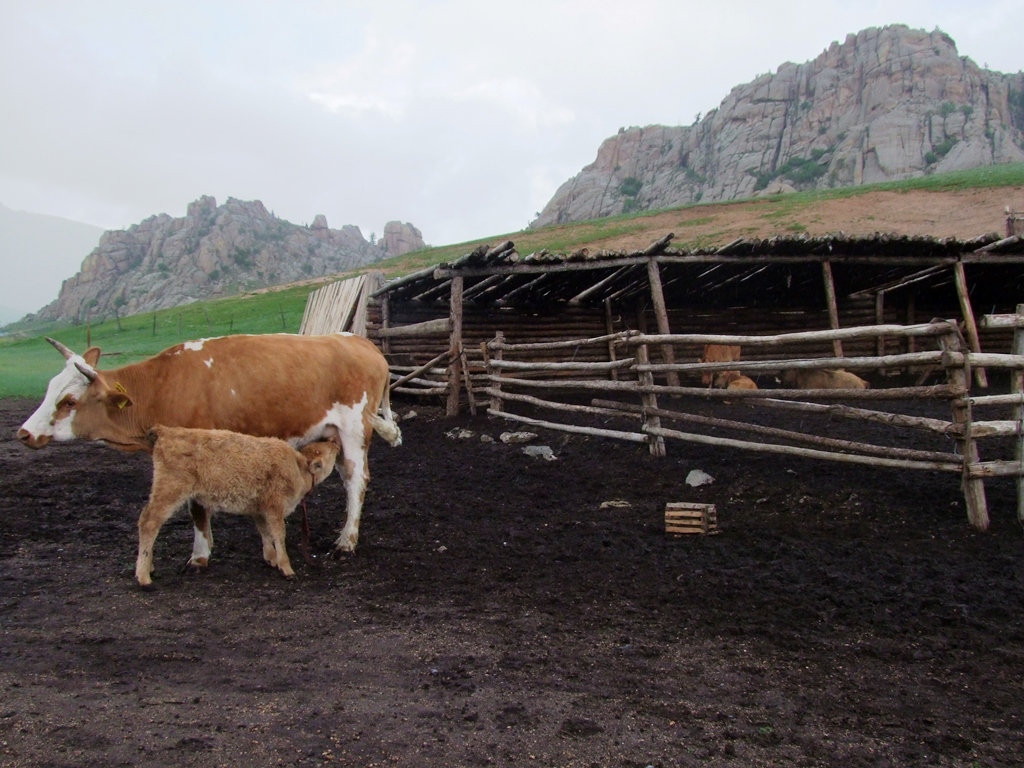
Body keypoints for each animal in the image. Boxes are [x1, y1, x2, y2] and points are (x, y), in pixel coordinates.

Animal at [132, 428, 337, 589]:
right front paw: (287, 569)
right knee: (149, 522)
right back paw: (144, 577)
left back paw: (149, 567)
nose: (334, 441)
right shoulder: (274, 508)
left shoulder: (260, 509)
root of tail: (165, 431)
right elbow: (279, 535)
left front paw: (271, 558)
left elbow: (265, 532)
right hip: (170, 491)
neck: (297, 468)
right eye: (325, 451)